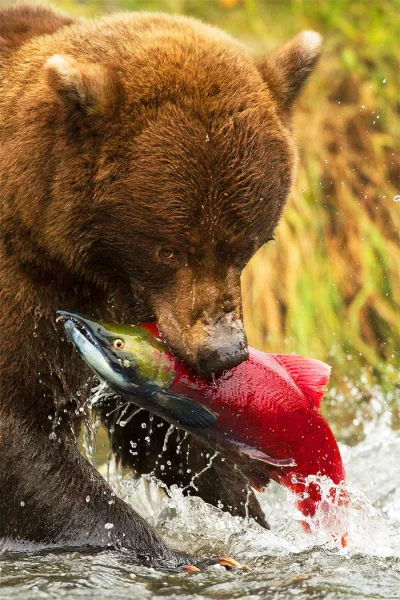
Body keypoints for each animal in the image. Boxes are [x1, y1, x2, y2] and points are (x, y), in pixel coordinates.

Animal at [0, 3, 322, 568]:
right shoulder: (27, 288)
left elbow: (160, 431)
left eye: (249, 243)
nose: (223, 352)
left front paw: (252, 519)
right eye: (170, 249)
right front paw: (170, 550)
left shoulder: (124, 315)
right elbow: (22, 438)